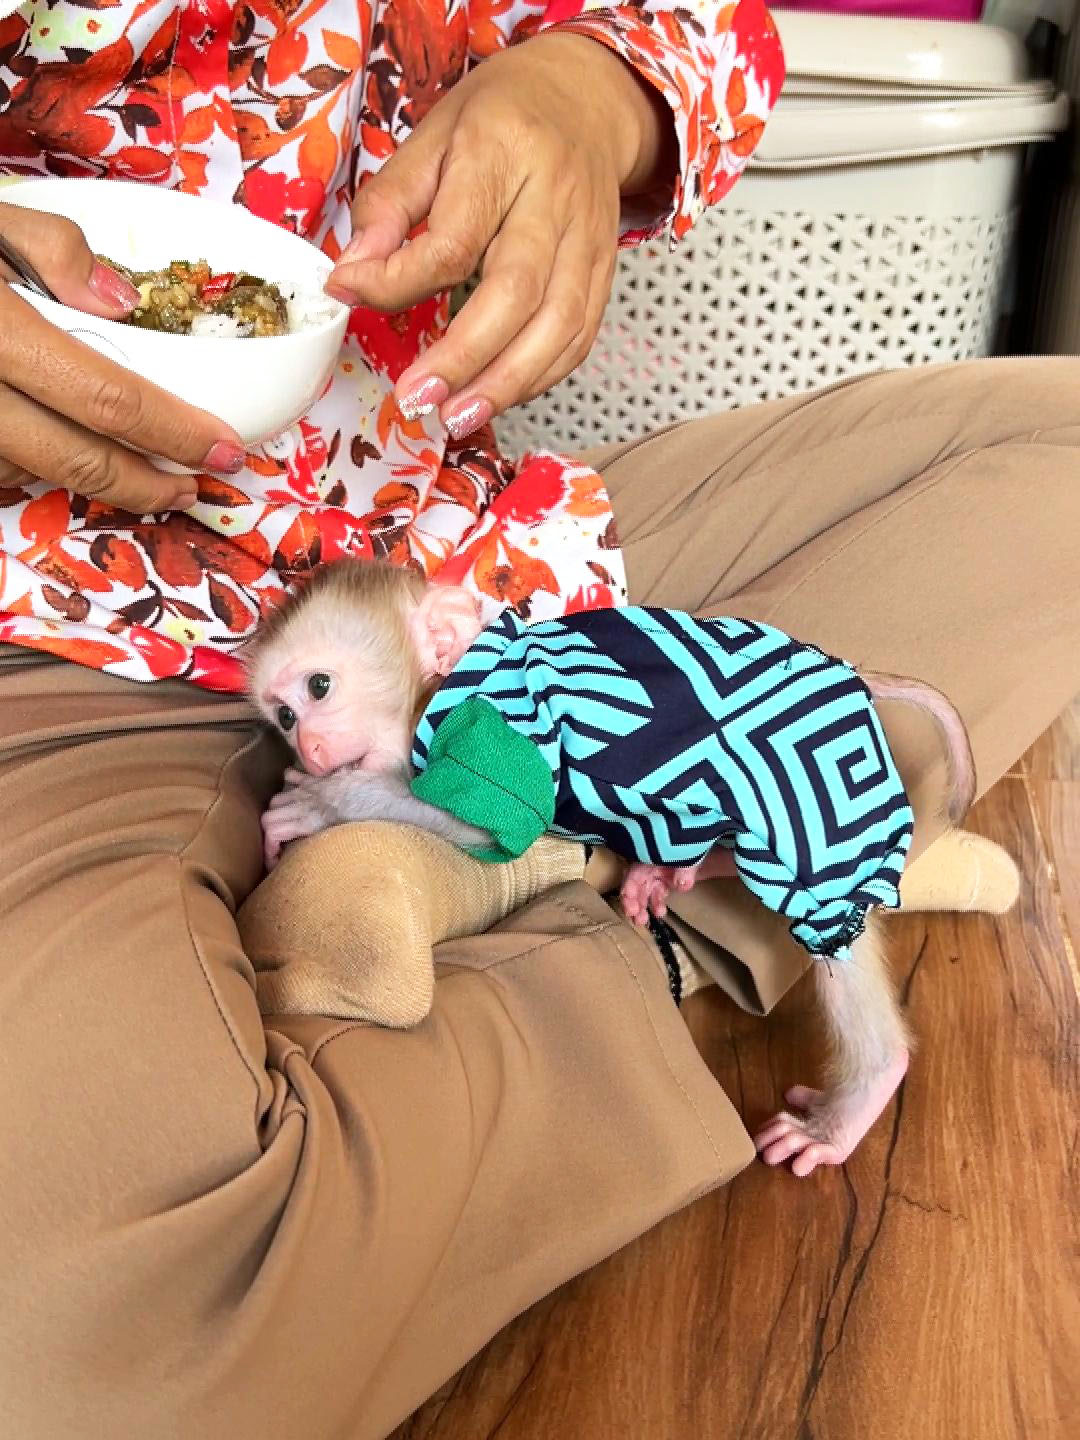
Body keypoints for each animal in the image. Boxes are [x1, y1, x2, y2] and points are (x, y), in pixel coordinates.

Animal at [247, 555, 979, 1175]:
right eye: (283, 716)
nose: (309, 748)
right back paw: (684, 867)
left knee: (818, 894)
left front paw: (323, 804)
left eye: (319, 687)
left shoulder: (489, 725)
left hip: (820, 781)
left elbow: (492, 824)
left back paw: (861, 1093)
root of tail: (844, 674)